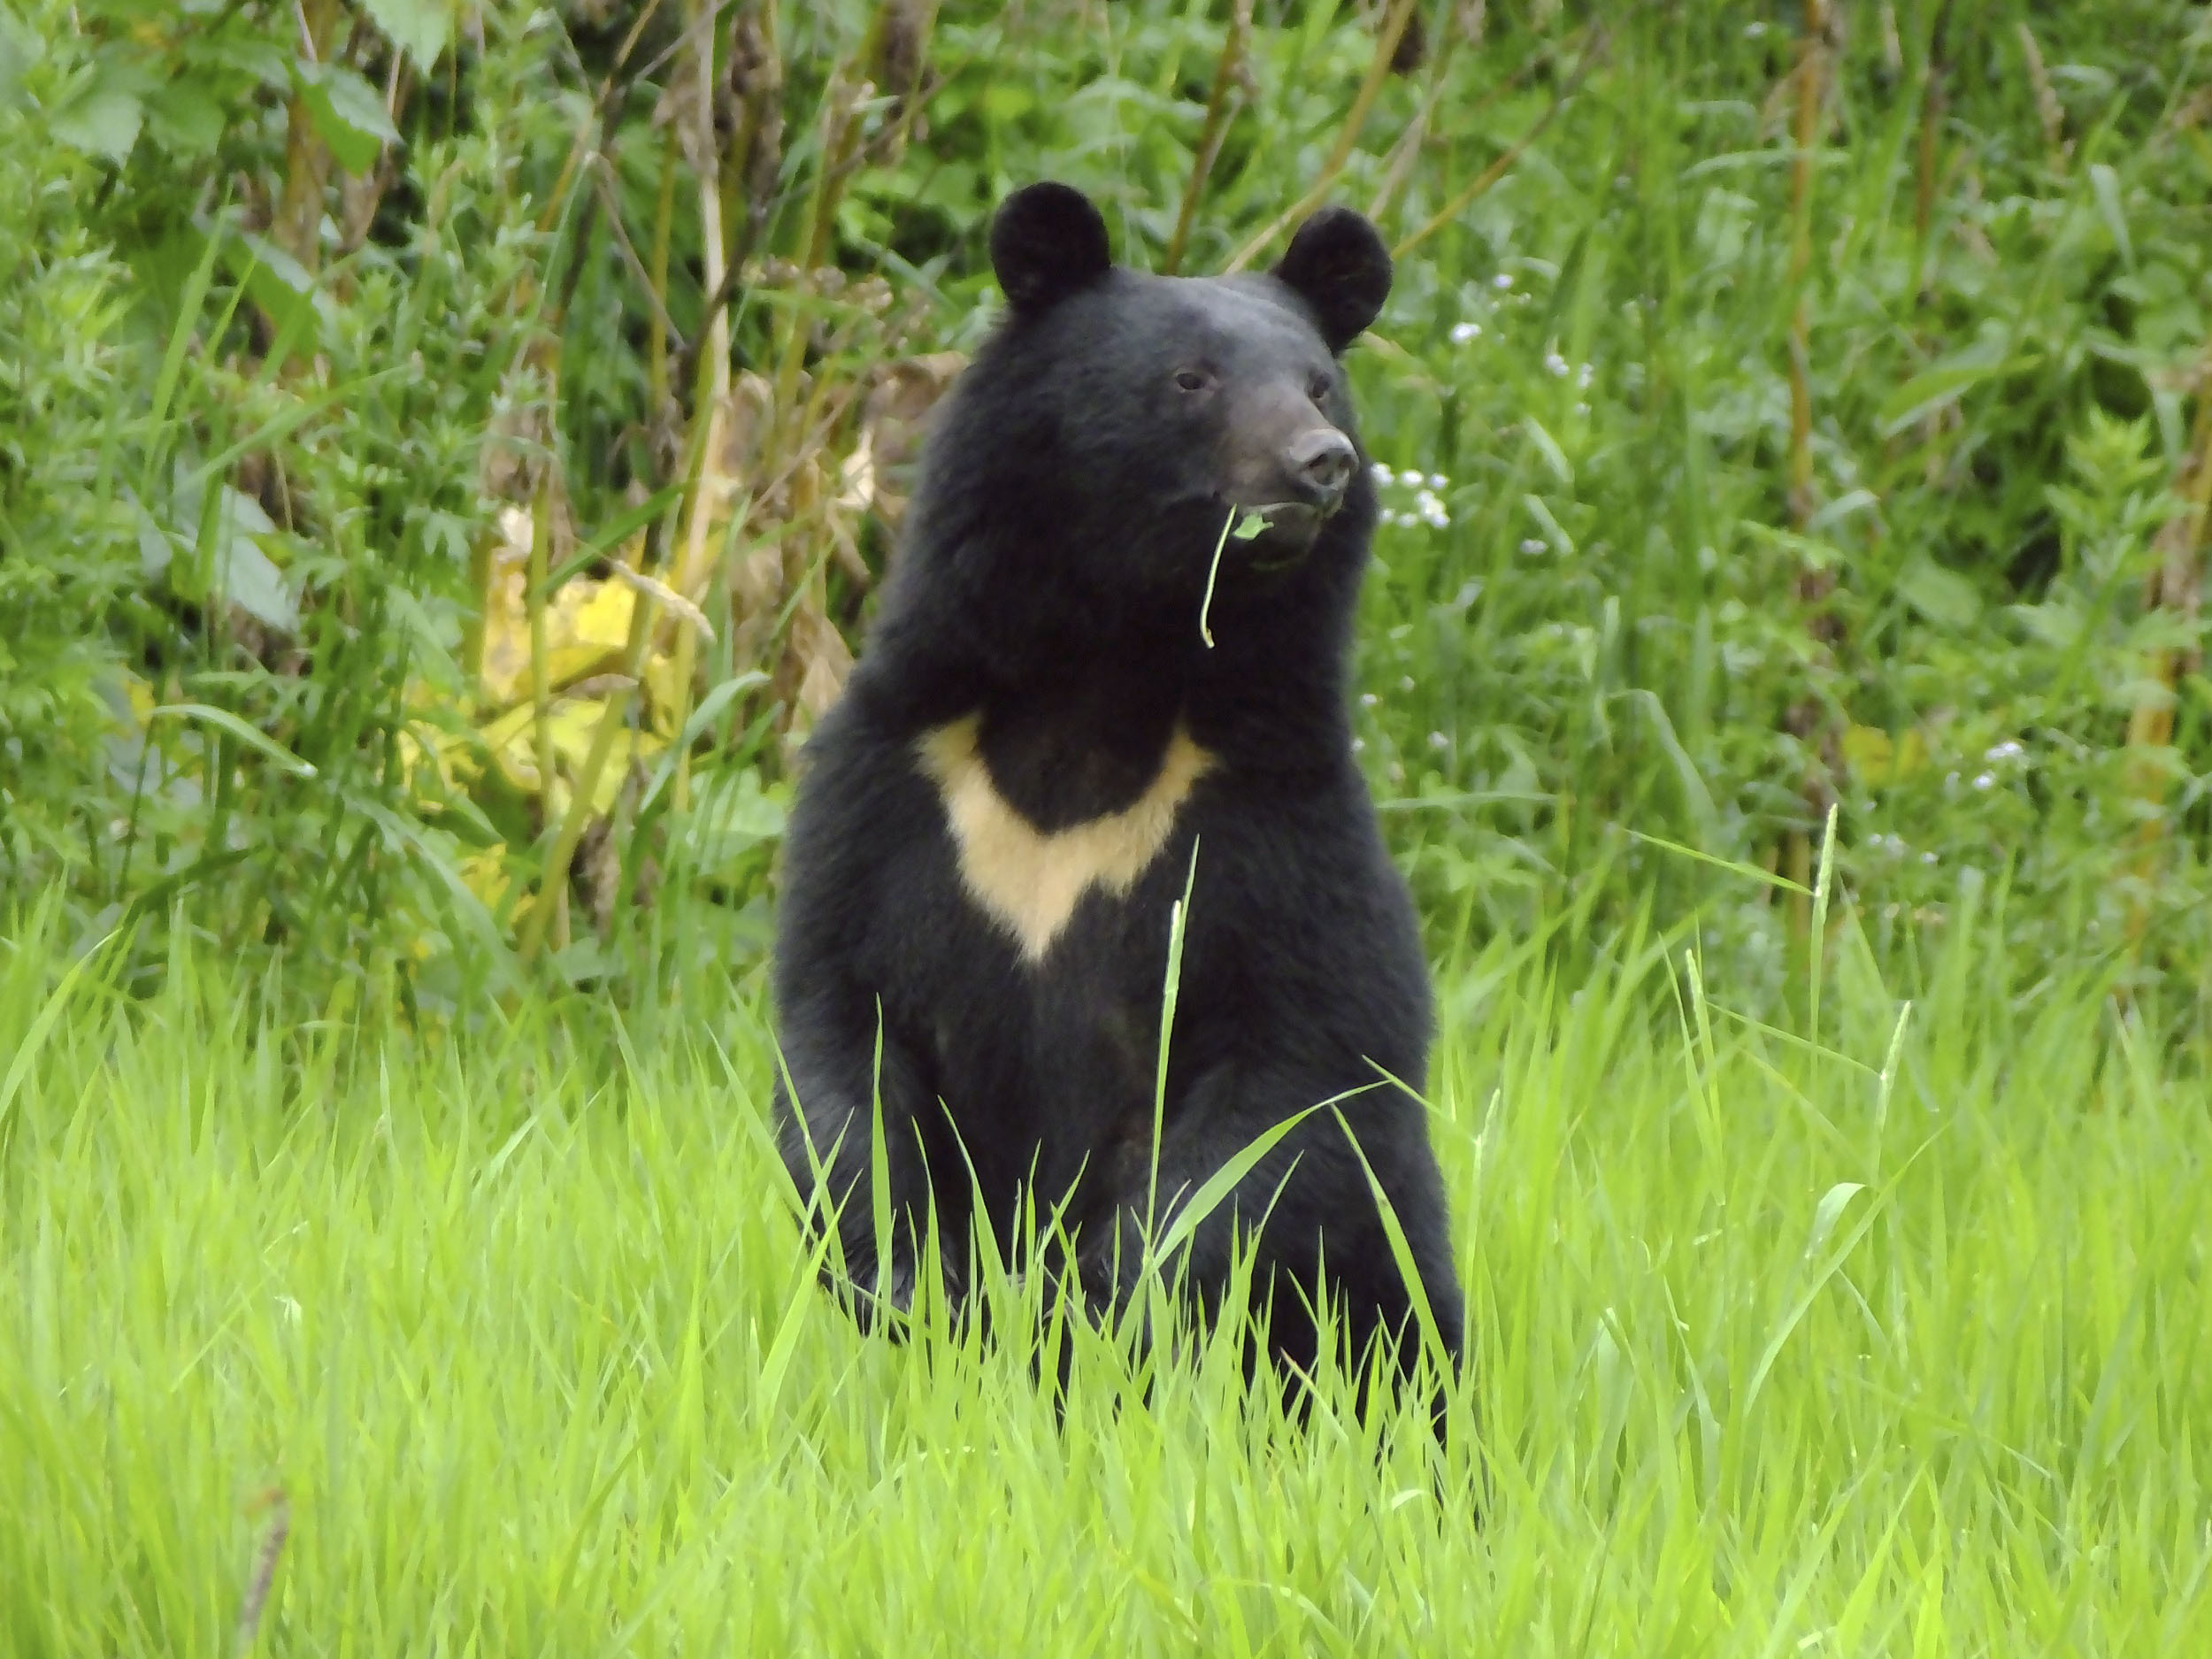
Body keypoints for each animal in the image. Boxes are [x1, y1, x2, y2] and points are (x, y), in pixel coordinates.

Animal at [770, 179, 1460, 1407]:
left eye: (1319, 384)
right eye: (1191, 379)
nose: (1321, 462)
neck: (1113, 669)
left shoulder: (1275, 813)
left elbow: (1292, 1077)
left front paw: (1098, 1301)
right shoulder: (889, 783)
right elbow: (839, 1025)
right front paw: (909, 1278)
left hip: (1387, 1296)